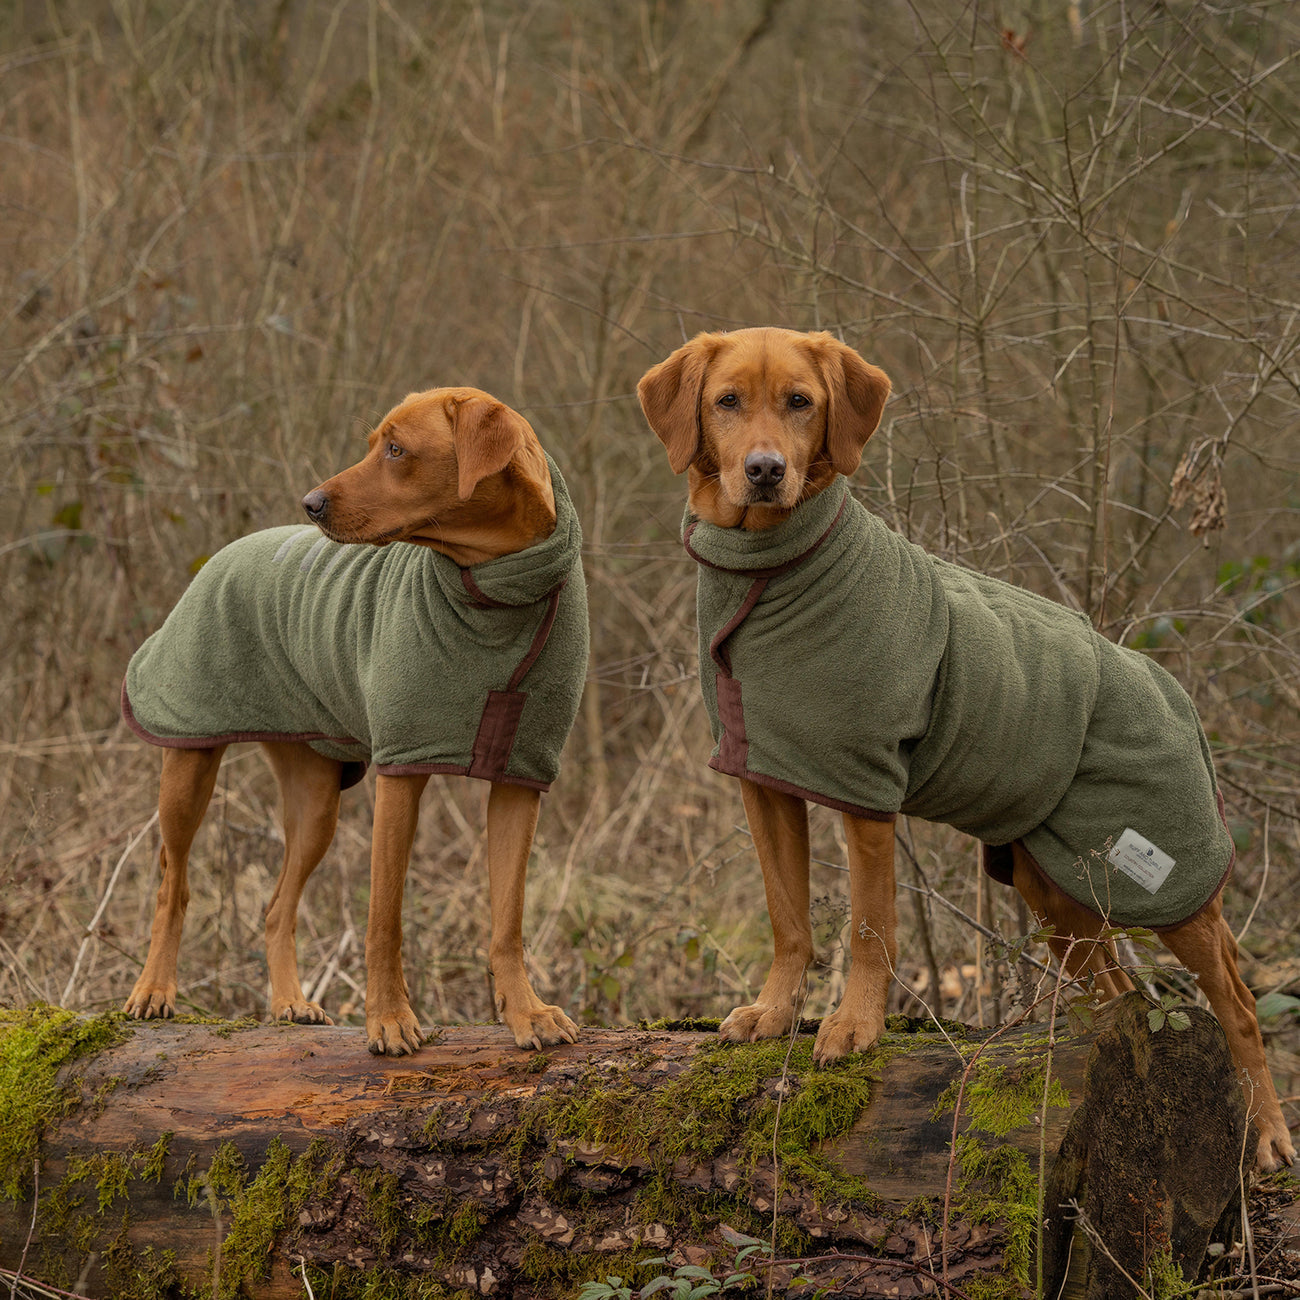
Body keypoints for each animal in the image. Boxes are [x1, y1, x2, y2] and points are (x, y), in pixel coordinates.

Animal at [122, 384, 590, 1055]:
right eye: (376, 444)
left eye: (396, 450)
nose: (311, 503)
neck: (498, 588)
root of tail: (223, 552)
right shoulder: (401, 771)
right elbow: (384, 918)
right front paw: (389, 1019)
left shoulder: (520, 777)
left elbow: (508, 918)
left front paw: (526, 1012)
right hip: (188, 760)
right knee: (172, 882)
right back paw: (154, 990)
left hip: (317, 797)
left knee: (276, 906)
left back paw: (289, 1003)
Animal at [634, 322, 1294, 1170]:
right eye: (726, 402)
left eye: (800, 402)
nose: (765, 470)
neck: (773, 572)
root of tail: (1171, 690)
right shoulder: (766, 781)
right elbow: (789, 920)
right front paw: (774, 1013)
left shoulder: (867, 791)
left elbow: (868, 926)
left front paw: (855, 1027)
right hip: (1058, 888)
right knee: (1117, 992)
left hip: (1165, 879)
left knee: (1239, 1004)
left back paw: (1268, 1133)